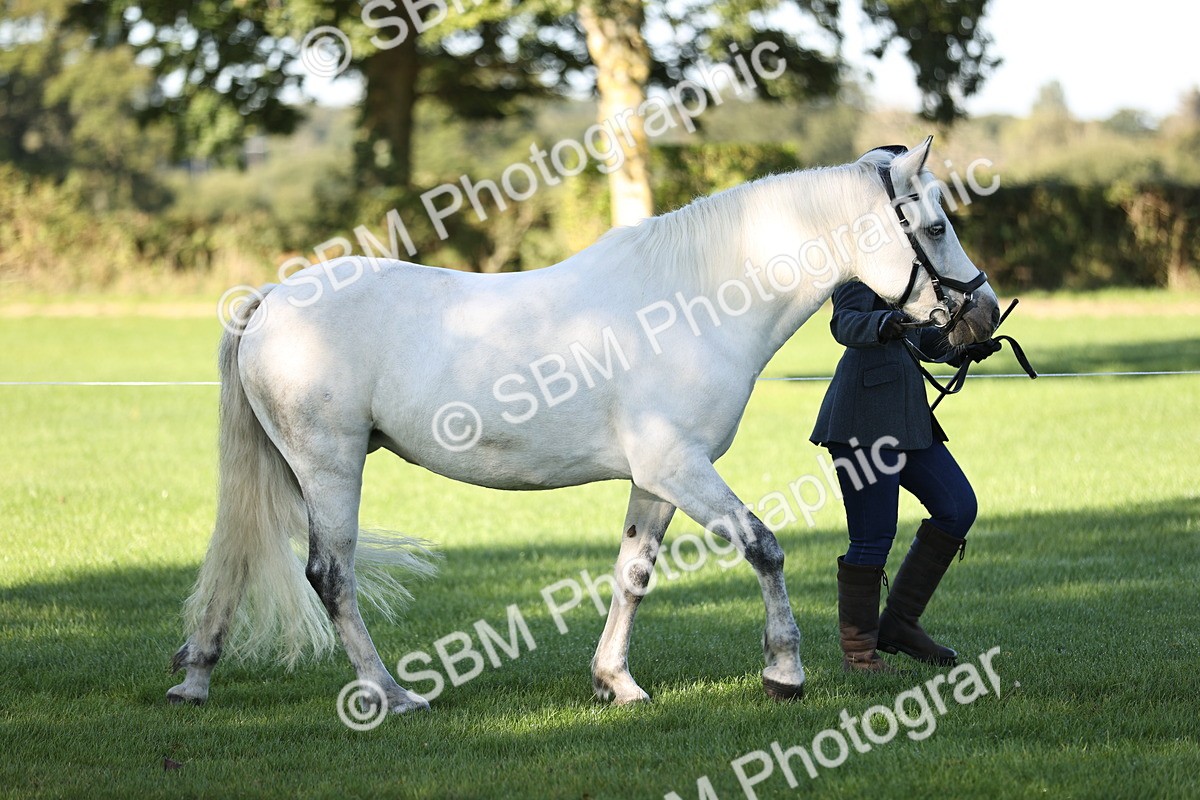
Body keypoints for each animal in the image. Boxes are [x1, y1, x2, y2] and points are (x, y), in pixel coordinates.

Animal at [168, 137, 1001, 713]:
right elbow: (764, 547)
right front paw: (784, 672)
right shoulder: (679, 468)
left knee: (239, 558)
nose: (983, 316)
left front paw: (615, 682)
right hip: (330, 464)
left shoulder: (658, 481)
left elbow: (634, 573)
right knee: (329, 575)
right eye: (932, 226)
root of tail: (272, 299)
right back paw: (392, 693)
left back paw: (196, 679)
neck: (690, 303)